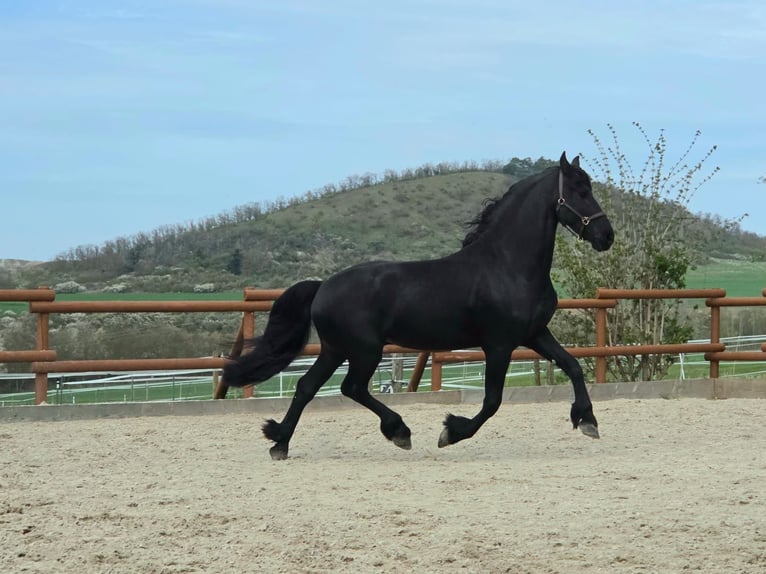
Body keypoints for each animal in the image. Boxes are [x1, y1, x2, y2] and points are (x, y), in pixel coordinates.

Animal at [223, 152, 615, 460]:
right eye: (580, 191)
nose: (606, 236)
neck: (508, 265)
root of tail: (323, 287)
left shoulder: (535, 334)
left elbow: (573, 367)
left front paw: (588, 420)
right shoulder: (500, 344)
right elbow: (492, 401)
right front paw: (450, 432)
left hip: (336, 349)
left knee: (307, 386)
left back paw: (280, 442)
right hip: (364, 350)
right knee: (351, 388)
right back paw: (399, 431)